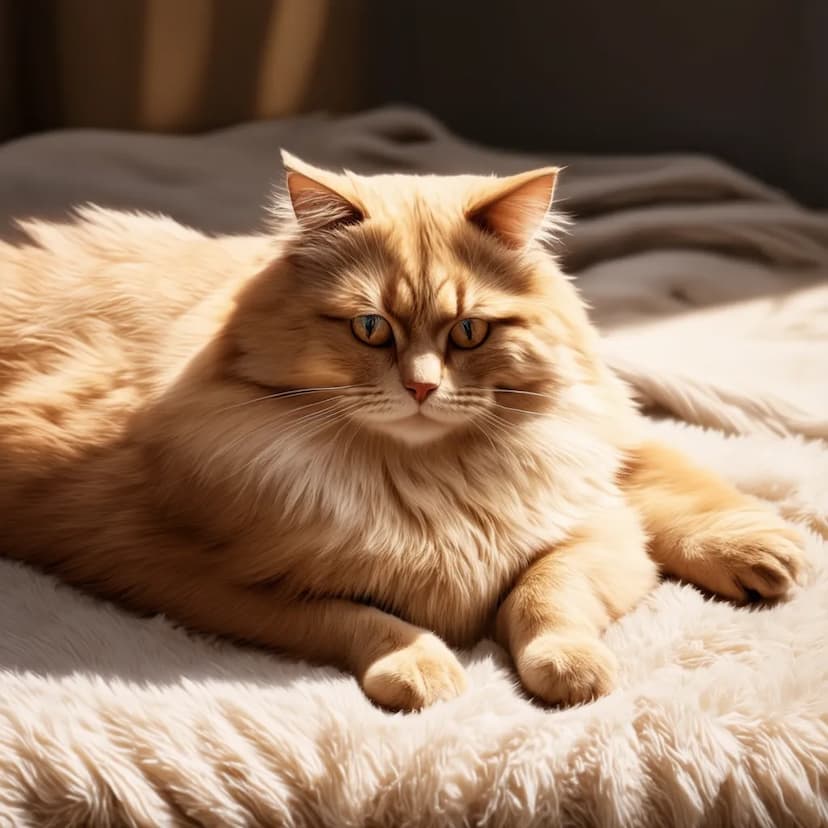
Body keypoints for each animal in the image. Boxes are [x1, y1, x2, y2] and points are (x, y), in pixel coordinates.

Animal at [0, 152, 804, 708]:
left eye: (469, 331)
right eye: (370, 328)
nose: (421, 387)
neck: (430, 483)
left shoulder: (595, 528)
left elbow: (545, 593)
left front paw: (569, 670)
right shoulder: (197, 580)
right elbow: (359, 619)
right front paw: (423, 670)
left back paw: (764, 553)